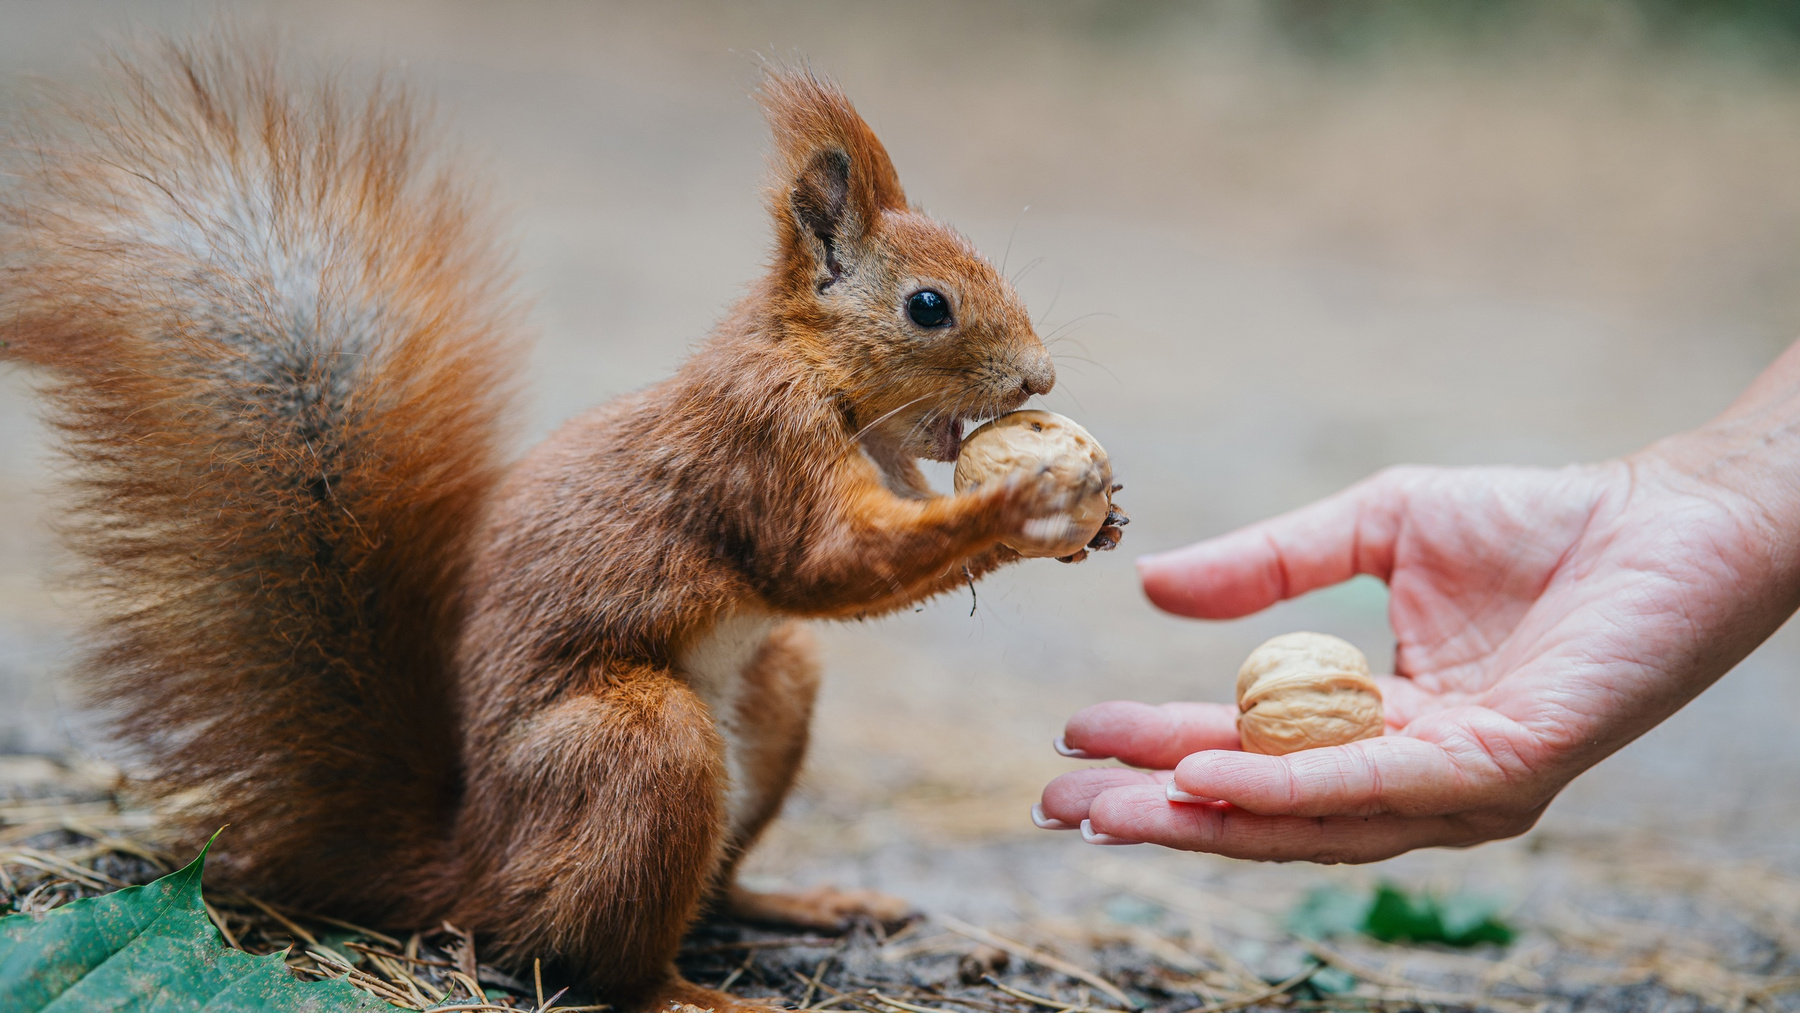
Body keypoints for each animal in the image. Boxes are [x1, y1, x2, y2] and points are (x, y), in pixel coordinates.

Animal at [0, 37, 1121, 1011]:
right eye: (929, 305)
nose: (1039, 380)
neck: (821, 378)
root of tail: (469, 865)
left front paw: (1091, 523)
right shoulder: (757, 445)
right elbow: (826, 565)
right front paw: (1025, 500)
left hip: (776, 691)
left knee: (715, 886)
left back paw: (803, 904)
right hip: (641, 746)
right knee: (602, 959)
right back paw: (691, 993)